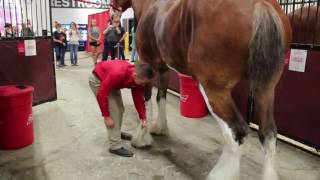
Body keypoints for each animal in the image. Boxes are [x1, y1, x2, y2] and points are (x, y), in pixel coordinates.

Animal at [111, 0, 292, 179]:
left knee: (236, 132)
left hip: (213, 89)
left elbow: (146, 100)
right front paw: (160, 128)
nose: (113, 13)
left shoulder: (147, 64)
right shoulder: (164, 70)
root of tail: (260, 4)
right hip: (265, 89)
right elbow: (160, 97)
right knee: (268, 134)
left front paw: (141, 139)